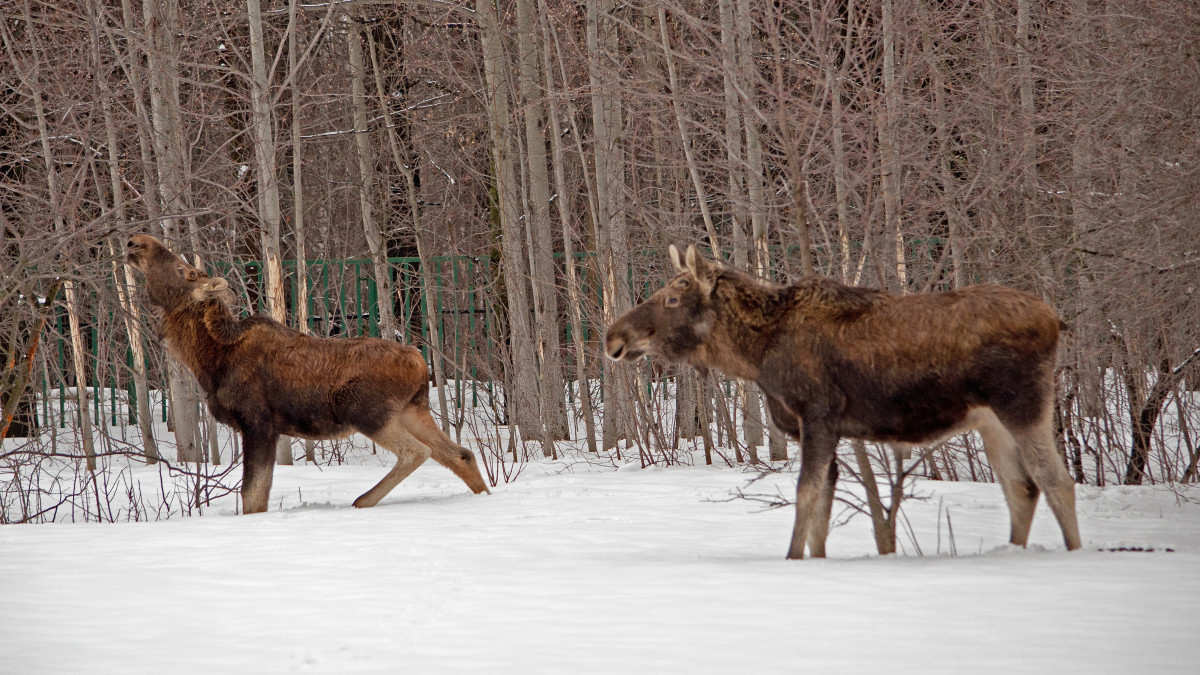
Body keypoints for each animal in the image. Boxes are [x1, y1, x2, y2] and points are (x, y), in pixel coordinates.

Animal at [127, 234, 492, 511]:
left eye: (182, 269)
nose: (136, 241)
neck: (208, 359)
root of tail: (420, 363)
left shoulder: (257, 423)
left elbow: (252, 496)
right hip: (411, 411)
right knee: (461, 453)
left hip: (364, 410)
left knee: (417, 451)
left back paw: (362, 501)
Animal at [604, 243, 1084, 559]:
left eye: (671, 297)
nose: (613, 337)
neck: (755, 355)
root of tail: (1056, 320)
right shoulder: (813, 428)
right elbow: (822, 508)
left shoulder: (818, 416)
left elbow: (806, 495)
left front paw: (792, 559)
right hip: (990, 421)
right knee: (1021, 488)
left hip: (1023, 404)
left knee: (1057, 480)